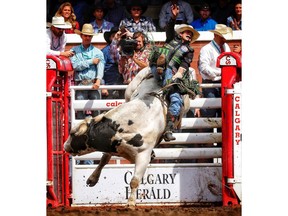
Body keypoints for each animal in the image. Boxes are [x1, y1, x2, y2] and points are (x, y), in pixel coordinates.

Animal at [63, 66, 190, 207]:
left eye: (72, 134)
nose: (64, 146)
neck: (123, 129)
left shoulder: (143, 156)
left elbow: (134, 180)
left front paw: (130, 203)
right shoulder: (112, 147)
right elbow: (104, 159)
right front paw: (92, 178)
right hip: (129, 91)